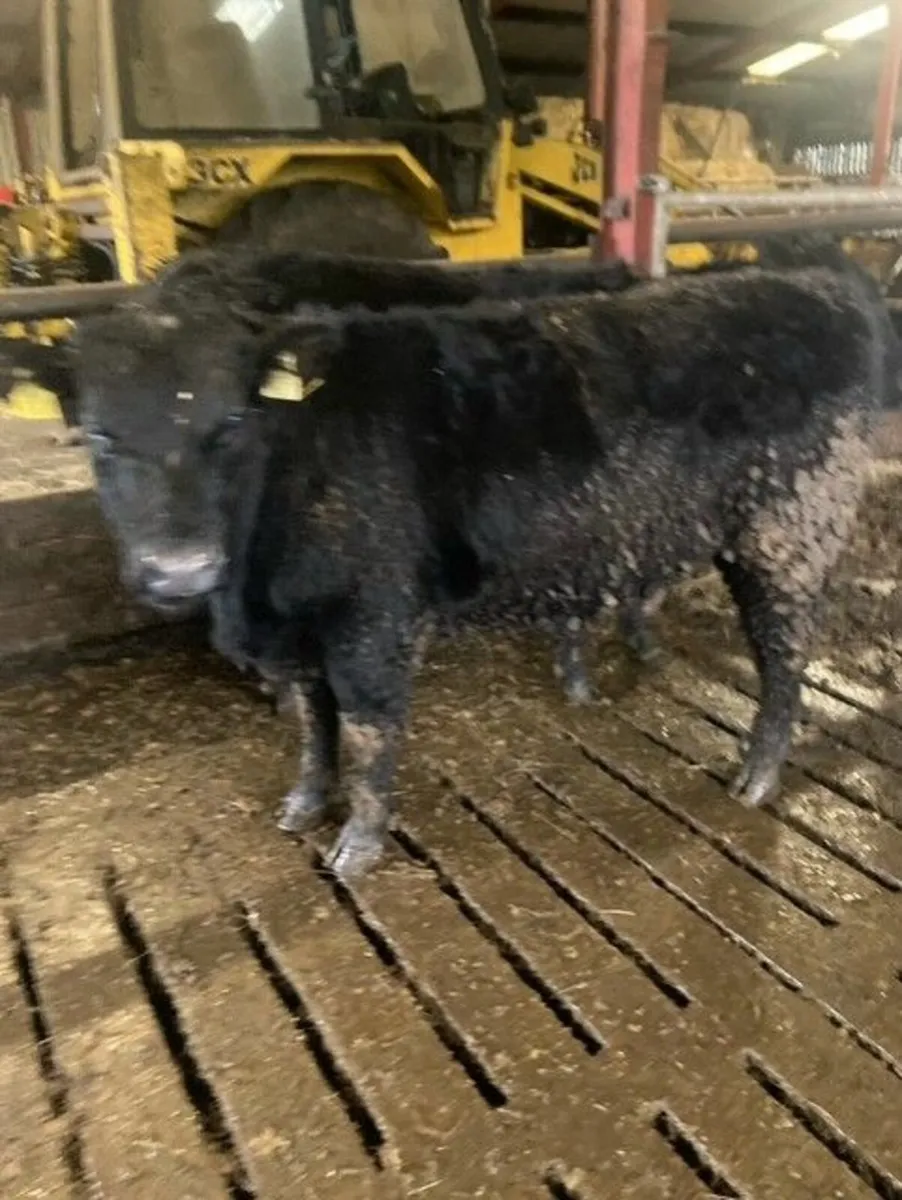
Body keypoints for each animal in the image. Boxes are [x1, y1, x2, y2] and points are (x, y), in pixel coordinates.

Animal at [74, 257, 900, 881]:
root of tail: (819, 282)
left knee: (783, 655)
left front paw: (357, 848)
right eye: (97, 435)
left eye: (234, 423)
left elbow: (368, 735)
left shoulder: (375, 619)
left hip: (793, 528)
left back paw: (755, 777)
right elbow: (313, 724)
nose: (178, 570)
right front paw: (303, 807)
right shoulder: (298, 633)